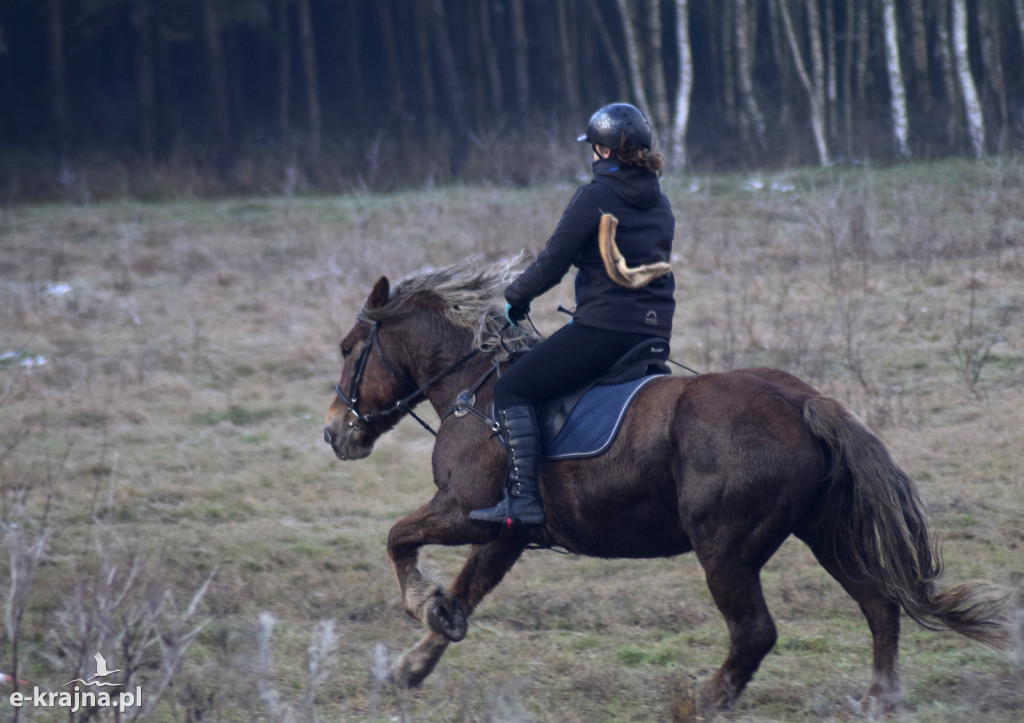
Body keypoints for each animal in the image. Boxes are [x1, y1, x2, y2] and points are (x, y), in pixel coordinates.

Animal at [321, 259, 1007, 716]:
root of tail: (804, 401)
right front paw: (414, 662)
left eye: (350, 348)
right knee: (879, 606)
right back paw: (879, 699)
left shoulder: (466, 509)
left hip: (726, 549)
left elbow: (397, 539)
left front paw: (423, 603)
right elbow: (465, 591)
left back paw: (704, 701)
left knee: (756, 632)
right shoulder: (504, 533)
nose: (334, 433)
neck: (476, 388)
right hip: (826, 534)